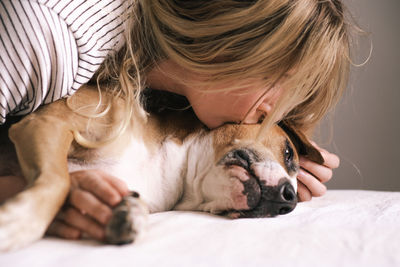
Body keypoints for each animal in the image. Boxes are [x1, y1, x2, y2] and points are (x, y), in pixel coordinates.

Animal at [0, 85, 324, 251]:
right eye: (288, 153)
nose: (288, 200)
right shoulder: (46, 123)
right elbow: (58, 181)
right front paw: (16, 224)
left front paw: (129, 212)